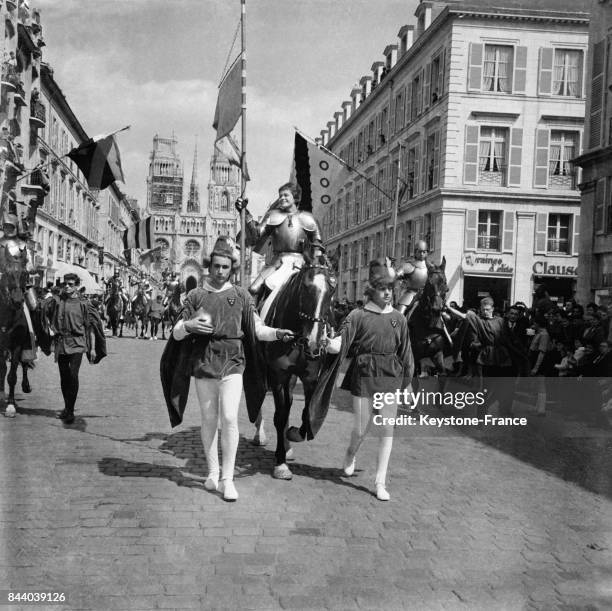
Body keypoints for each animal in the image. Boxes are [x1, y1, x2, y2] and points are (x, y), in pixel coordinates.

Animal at [256, 256, 338, 480]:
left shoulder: (310, 377)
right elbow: (280, 416)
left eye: (332, 289)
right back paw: (261, 436)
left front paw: (292, 435)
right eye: (305, 288)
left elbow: (306, 413)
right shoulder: (277, 377)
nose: (314, 342)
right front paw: (280, 463)